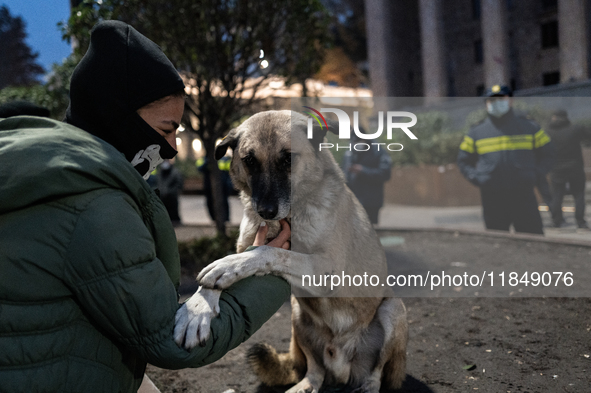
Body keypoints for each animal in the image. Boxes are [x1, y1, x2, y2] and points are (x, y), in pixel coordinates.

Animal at [173, 110, 410, 392]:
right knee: (315, 369)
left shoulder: (327, 269)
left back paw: (368, 386)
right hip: (299, 316)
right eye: (249, 160)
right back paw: (304, 386)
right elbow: (224, 272)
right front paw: (197, 308)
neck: (287, 218)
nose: (265, 211)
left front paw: (226, 267)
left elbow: (267, 252)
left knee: (376, 372)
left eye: (288, 158)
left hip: (393, 309)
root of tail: (342, 365)